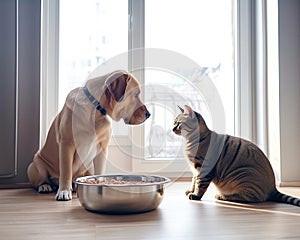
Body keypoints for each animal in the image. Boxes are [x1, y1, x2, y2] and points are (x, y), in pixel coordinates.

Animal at [26, 70, 150, 201]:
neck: (96, 110)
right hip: (35, 166)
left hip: (88, 167)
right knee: (41, 181)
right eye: (136, 94)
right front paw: (64, 190)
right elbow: (66, 171)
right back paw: (45, 186)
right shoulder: (66, 144)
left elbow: (100, 172)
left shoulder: (102, 149)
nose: (148, 114)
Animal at [172, 105, 300, 206]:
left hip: (242, 175)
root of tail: (273, 188)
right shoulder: (195, 169)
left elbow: (200, 185)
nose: (172, 129)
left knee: (252, 199)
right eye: (174, 122)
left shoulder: (203, 168)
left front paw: (195, 196)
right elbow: (194, 182)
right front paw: (190, 191)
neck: (190, 141)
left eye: (178, 123)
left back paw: (223, 196)